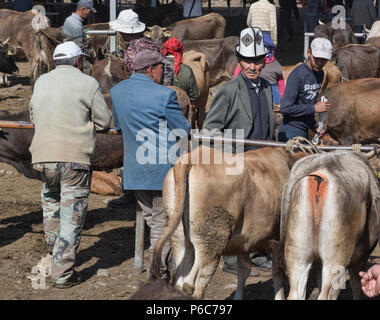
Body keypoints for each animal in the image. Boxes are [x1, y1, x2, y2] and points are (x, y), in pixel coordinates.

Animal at [151, 145, 306, 300]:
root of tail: (191, 157)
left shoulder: (245, 240)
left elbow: (244, 270)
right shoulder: (278, 240)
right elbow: (277, 272)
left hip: (179, 235)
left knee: (181, 275)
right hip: (212, 239)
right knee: (194, 281)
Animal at [274, 152, 380, 300]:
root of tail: (322, 167)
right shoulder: (361, 258)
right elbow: (356, 286)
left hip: (297, 255)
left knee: (295, 291)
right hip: (335, 261)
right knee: (326, 294)